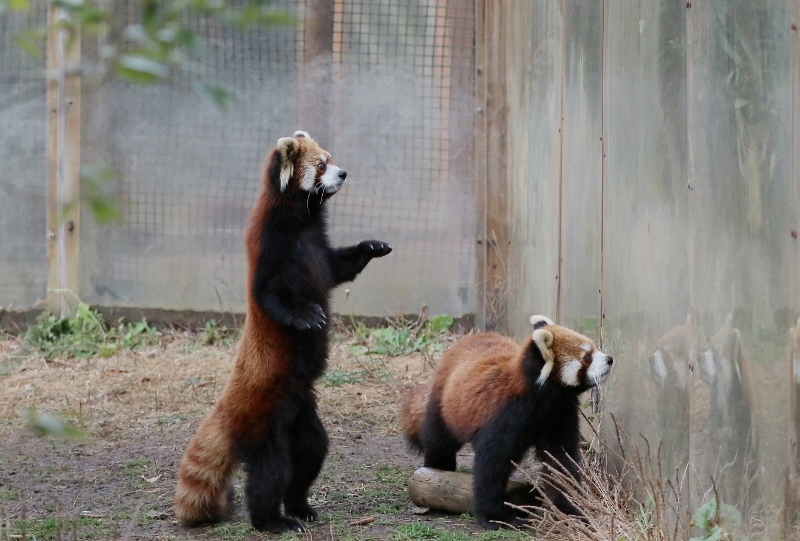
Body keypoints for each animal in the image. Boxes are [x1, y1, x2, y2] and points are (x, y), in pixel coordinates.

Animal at [173, 131, 392, 532]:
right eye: (321, 165)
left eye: (331, 158)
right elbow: (272, 297)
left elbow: (340, 268)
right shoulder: (270, 249)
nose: (343, 173)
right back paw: (273, 520)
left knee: (311, 452)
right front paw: (306, 316)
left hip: (301, 410)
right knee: (269, 472)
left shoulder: (321, 251)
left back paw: (301, 505)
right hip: (263, 422)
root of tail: (228, 408)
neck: (302, 222)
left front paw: (372, 246)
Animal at [400, 314, 612, 528]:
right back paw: (437, 470)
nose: (610, 359)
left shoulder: (558, 415)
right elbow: (492, 465)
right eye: (587, 357)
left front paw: (569, 511)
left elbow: (560, 462)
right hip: (444, 405)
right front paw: (494, 516)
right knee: (439, 440)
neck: (542, 400)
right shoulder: (506, 416)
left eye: (594, 348)